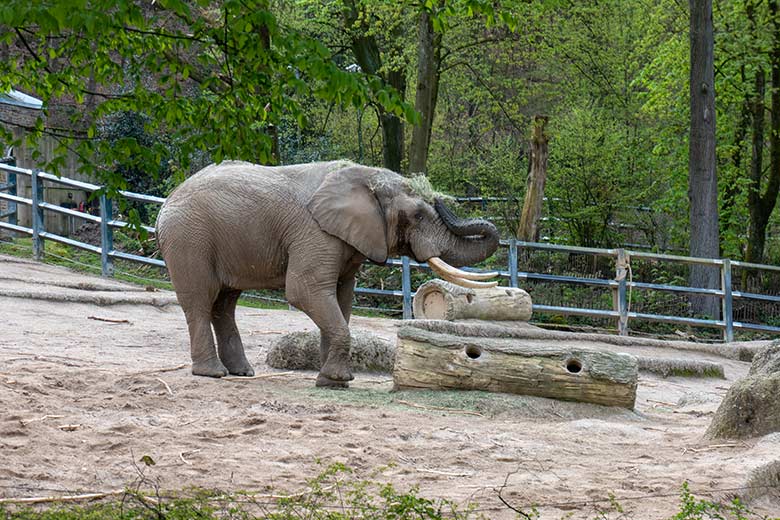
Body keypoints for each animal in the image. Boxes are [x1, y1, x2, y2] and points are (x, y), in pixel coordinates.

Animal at [158, 160, 500, 388]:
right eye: (416, 215)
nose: (440, 198)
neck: (364, 178)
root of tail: (168, 200)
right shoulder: (315, 233)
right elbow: (305, 291)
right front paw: (335, 379)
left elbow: (341, 298)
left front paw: (333, 382)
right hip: (189, 239)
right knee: (201, 301)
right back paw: (212, 373)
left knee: (225, 303)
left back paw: (242, 373)